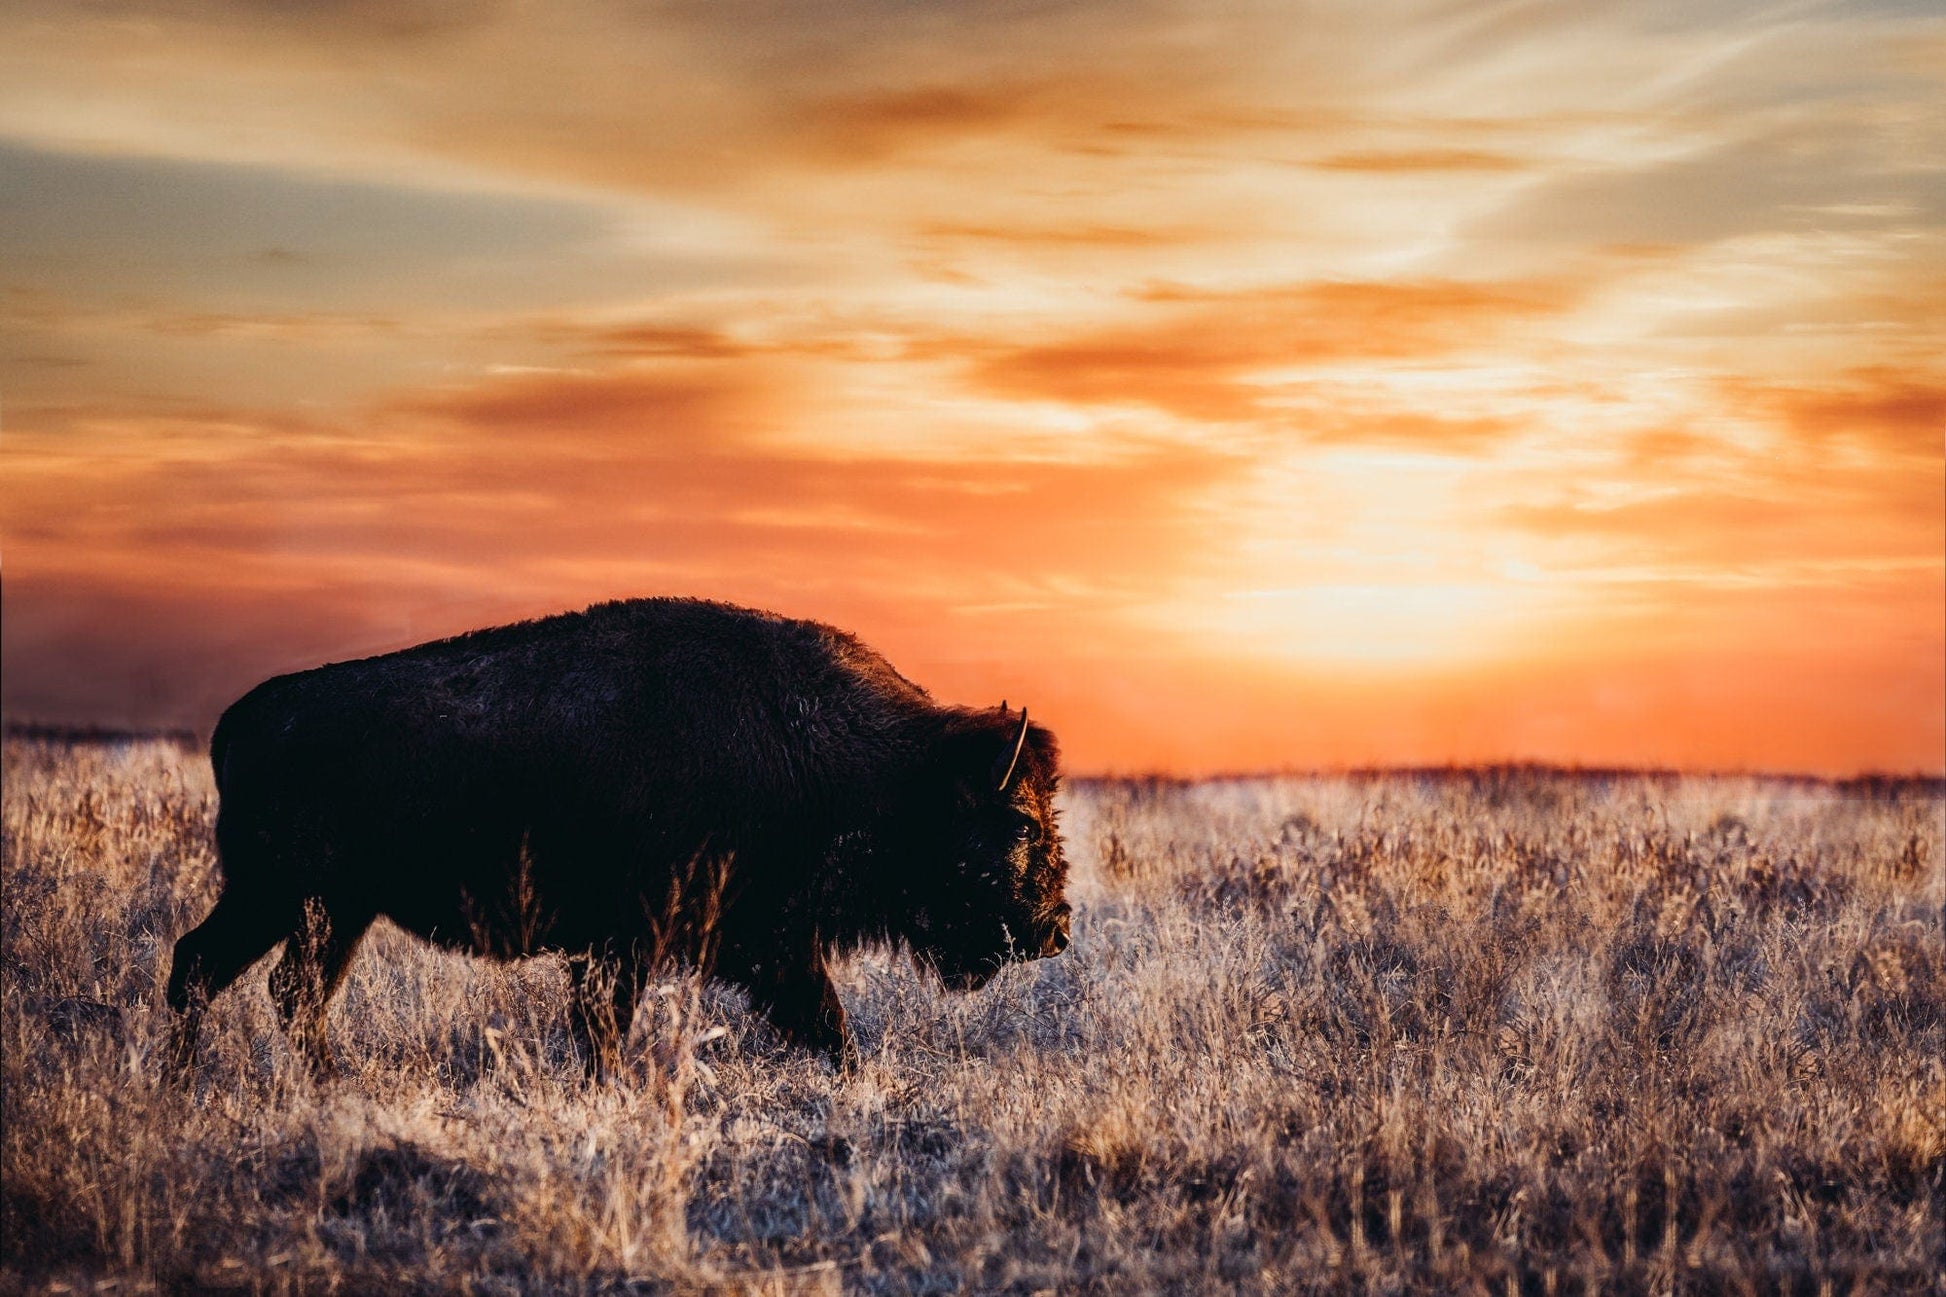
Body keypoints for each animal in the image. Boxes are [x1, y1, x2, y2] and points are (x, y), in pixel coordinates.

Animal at [167, 595, 1074, 1067]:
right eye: (1018, 819)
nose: (1057, 927)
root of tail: (242, 719)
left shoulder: (683, 943)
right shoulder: (671, 939)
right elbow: (816, 1016)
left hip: (329, 908)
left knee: (275, 985)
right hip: (285, 896)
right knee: (216, 969)